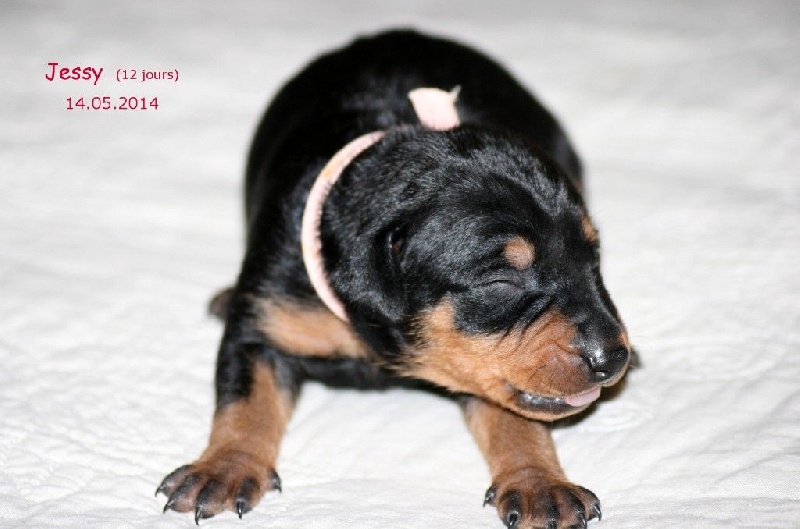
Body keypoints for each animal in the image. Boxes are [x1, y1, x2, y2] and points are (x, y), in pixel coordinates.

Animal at [157, 29, 634, 529]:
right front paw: (223, 468)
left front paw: (540, 485)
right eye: (500, 283)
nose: (615, 358)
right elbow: (245, 397)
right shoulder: (263, 316)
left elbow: (515, 414)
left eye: (593, 258)